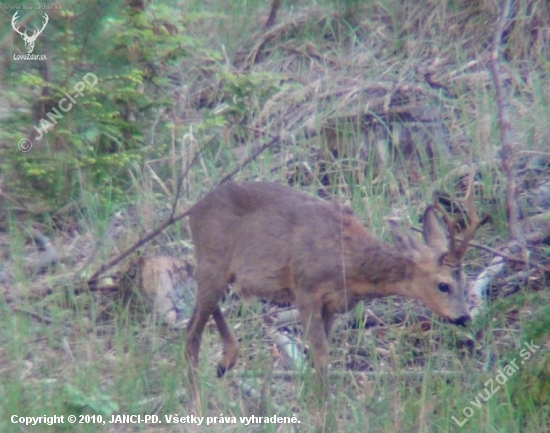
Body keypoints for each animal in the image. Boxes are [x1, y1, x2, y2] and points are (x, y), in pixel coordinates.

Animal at [185, 180, 478, 402]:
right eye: (443, 285)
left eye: (464, 280)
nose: (464, 317)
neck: (351, 263)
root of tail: (193, 211)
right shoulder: (305, 291)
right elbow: (322, 356)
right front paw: (324, 409)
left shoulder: (332, 305)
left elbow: (318, 360)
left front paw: (314, 400)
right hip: (213, 262)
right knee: (192, 332)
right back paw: (198, 396)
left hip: (219, 271)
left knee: (199, 314)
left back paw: (225, 362)